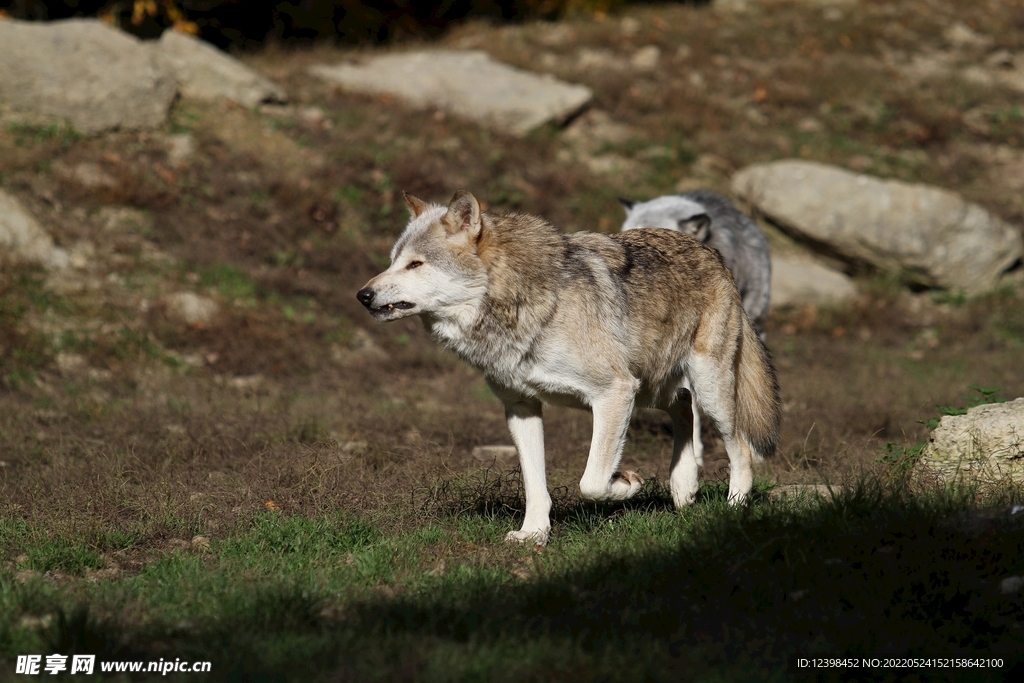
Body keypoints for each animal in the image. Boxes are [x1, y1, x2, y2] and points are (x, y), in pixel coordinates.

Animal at [356, 191, 778, 544]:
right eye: (393, 261)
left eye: (415, 264)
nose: (363, 294)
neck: (522, 305)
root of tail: (712, 252)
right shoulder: (522, 408)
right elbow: (535, 487)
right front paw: (533, 535)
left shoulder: (613, 393)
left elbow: (591, 482)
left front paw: (626, 484)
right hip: (652, 389)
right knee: (683, 407)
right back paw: (684, 486)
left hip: (706, 389)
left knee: (739, 446)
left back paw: (733, 506)